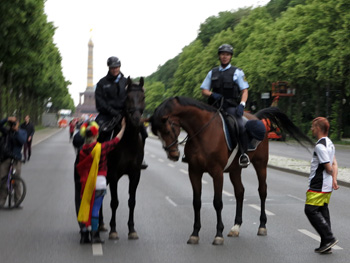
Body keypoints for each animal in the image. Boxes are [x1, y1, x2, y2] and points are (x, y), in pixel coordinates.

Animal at [149, 96, 314, 245]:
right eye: (157, 133)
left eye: (168, 130)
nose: (173, 155)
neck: (203, 132)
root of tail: (256, 118)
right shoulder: (194, 172)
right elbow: (196, 202)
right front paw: (195, 234)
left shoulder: (217, 173)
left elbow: (217, 202)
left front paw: (218, 234)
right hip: (235, 170)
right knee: (240, 192)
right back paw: (236, 227)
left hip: (261, 165)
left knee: (262, 191)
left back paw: (262, 226)